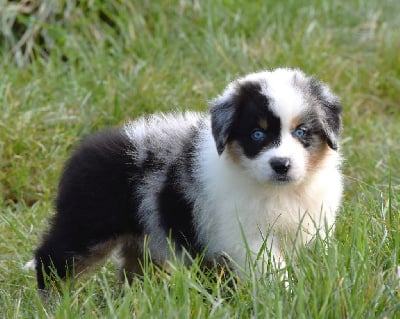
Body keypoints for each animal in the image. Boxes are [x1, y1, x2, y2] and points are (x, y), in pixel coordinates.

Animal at [28, 69, 342, 292]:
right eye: (257, 134)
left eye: (302, 132)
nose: (281, 165)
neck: (281, 191)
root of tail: (82, 152)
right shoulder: (247, 236)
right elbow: (271, 268)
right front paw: (285, 295)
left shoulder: (314, 228)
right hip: (87, 225)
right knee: (52, 258)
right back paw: (53, 304)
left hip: (143, 236)